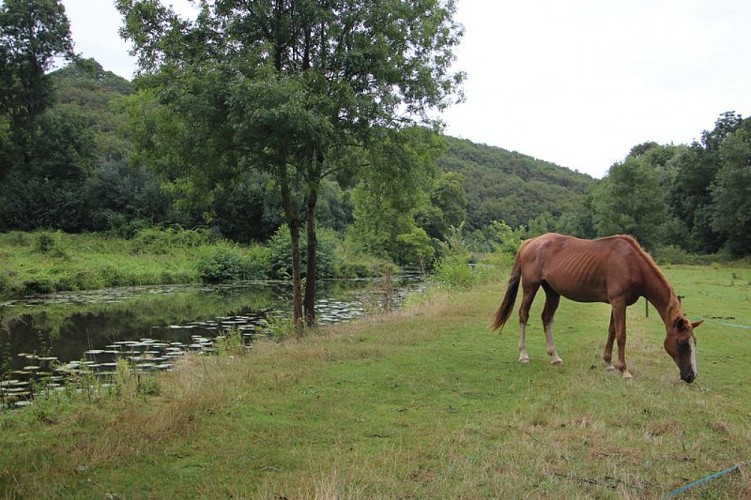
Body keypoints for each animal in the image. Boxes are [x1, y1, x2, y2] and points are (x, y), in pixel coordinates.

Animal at [490, 233, 702, 383]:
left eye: (694, 342)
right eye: (682, 342)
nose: (691, 376)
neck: (633, 264)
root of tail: (531, 241)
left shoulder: (617, 304)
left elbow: (612, 331)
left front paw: (608, 363)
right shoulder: (618, 302)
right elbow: (622, 335)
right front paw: (624, 370)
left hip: (552, 291)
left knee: (547, 318)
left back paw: (555, 357)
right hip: (530, 287)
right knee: (523, 315)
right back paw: (523, 355)